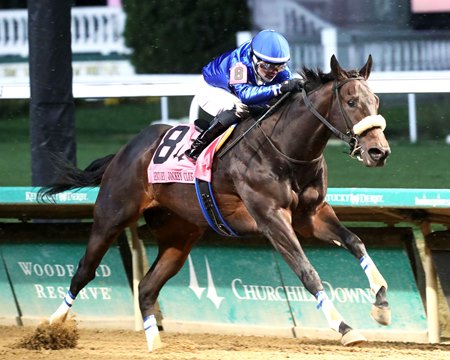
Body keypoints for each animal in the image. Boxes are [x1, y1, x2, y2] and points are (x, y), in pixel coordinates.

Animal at [39, 54, 390, 350]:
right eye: (351, 101)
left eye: (376, 100)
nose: (379, 152)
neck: (285, 149)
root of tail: (123, 152)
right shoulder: (271, 218)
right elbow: (307, 271)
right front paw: (345, 328)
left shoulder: (311, 214)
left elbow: (355, 242)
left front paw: (382, 303)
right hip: (111, 216)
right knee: (84, 271)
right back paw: (51, 327)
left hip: (179, 235)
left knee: (147, 288)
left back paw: (155, 345)